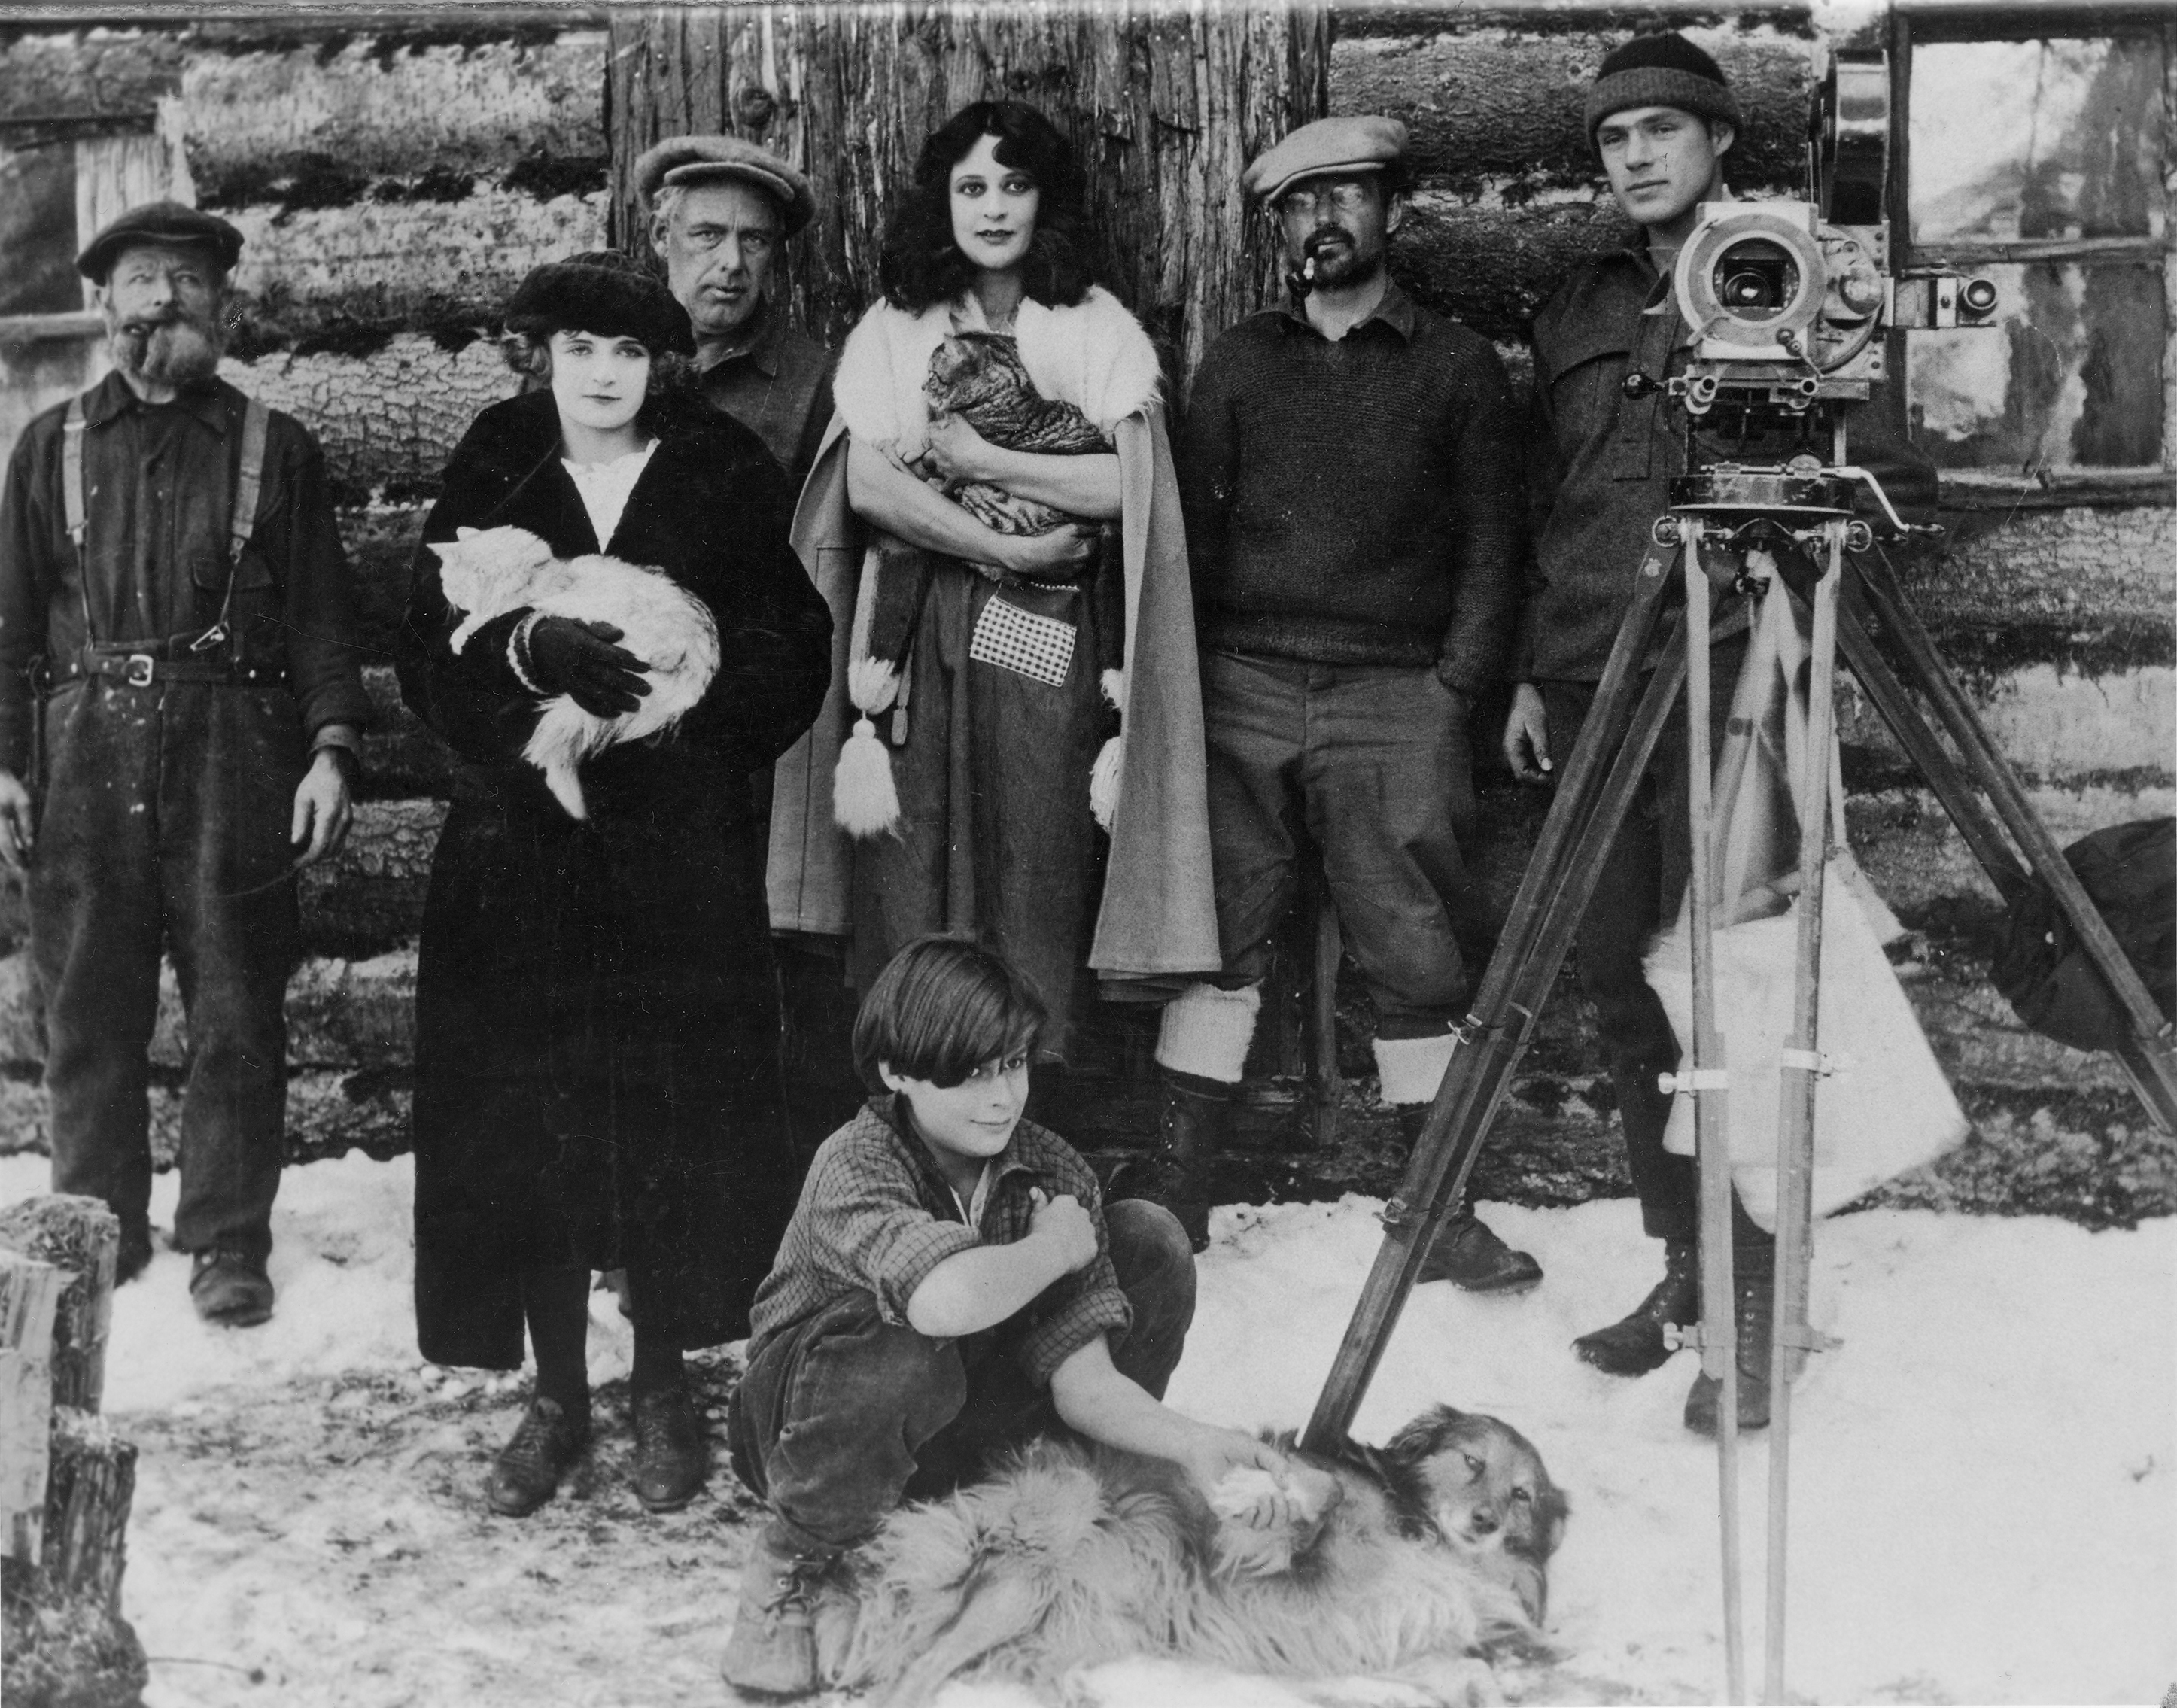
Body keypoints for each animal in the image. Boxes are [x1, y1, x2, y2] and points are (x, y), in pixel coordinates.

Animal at [427, 520, 722, 818]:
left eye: (447, 581)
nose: (448, 599)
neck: (539, 570)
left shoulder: (517, 601)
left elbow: (486, 616)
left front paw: (460, 634)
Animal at [818, 1401, 1567, 1706]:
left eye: (1522, 1494)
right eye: (1471, 1462)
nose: (1484, 1521)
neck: (1422, 1531)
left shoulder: (1412, 1629)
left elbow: (1465, 1671)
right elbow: (1313, 1489)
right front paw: (1252, 1490)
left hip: (1081, 1622)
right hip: (1029, 1571)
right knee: (912, 1674)